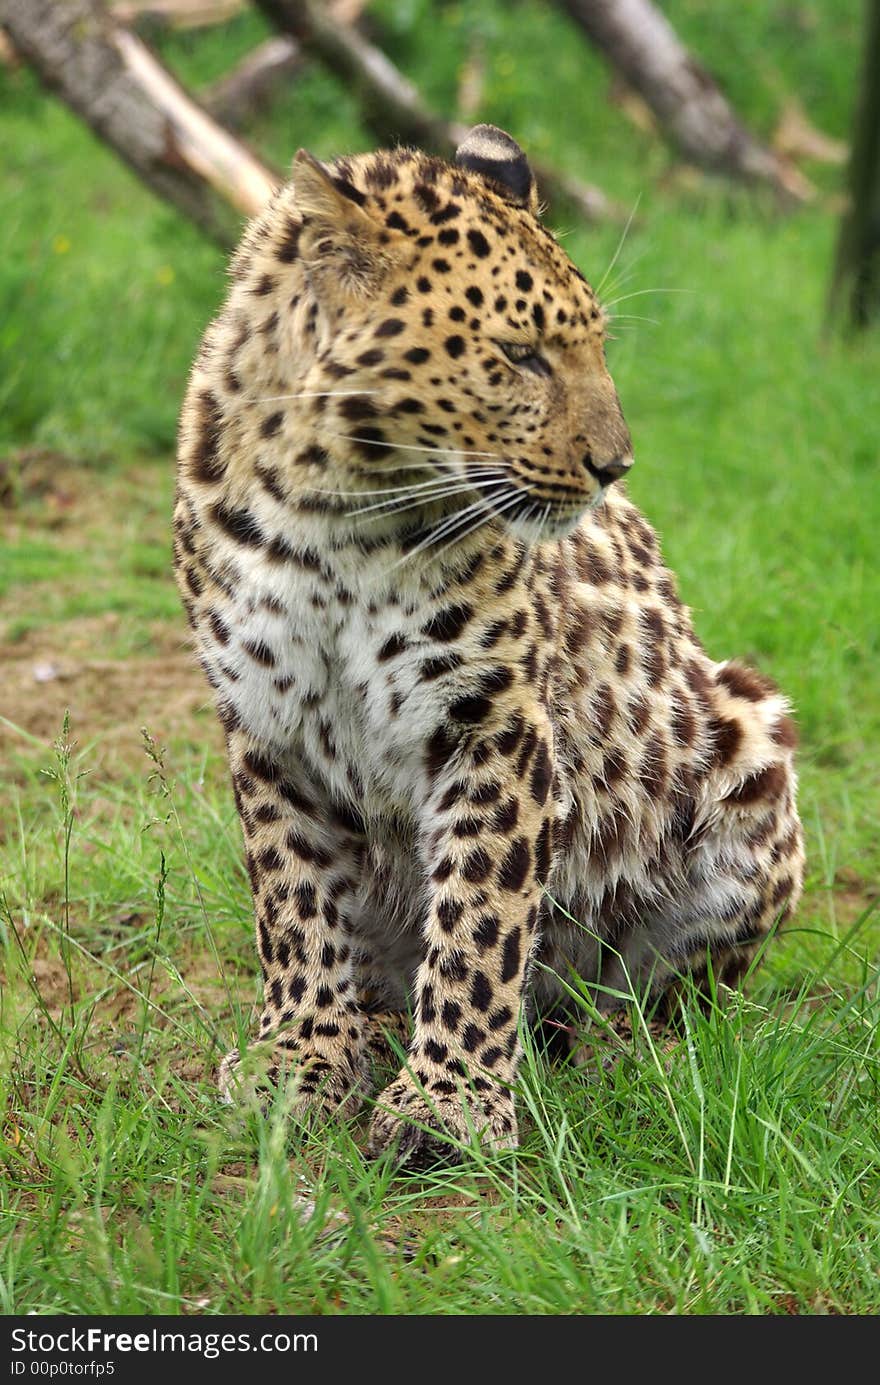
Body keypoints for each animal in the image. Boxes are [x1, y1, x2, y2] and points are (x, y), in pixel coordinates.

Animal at [171, 127, 803, 1168]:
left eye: (594, 346)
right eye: (519, 356)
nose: (616, 466)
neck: (332, 512)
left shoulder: (492, 720)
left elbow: (480, 914)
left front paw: (450, 1103)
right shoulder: (267, 723)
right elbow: (295, 904)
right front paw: (301, 1057)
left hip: (749, 736)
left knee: (660, 994)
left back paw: (618, 1047)